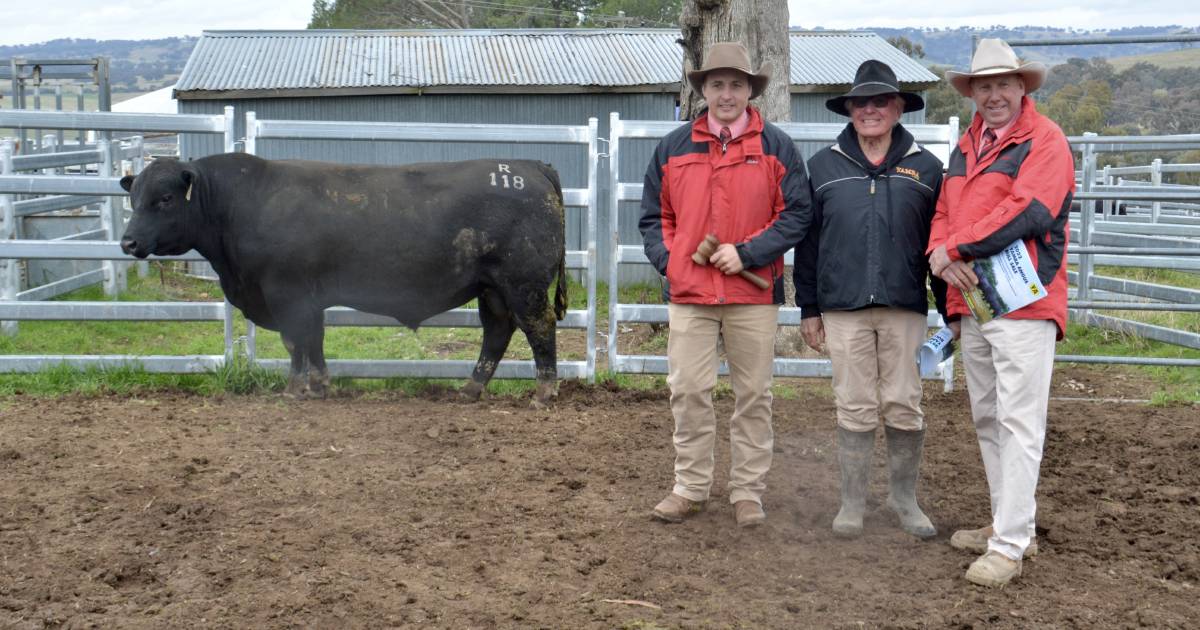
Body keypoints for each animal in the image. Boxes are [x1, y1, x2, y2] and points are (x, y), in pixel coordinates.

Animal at [119, 154, 568, 405]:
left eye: (164, 198)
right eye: (133, 197)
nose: (127, 241)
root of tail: (530, 166)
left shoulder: (286, 293)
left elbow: (295, 341)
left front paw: (294, 390)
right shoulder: (308, 299)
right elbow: (313, 340)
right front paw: (321, 386)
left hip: (523, 284)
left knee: (539, 329)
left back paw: (545, 394)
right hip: (492, 290)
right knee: (497, 333)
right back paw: (470, 390)